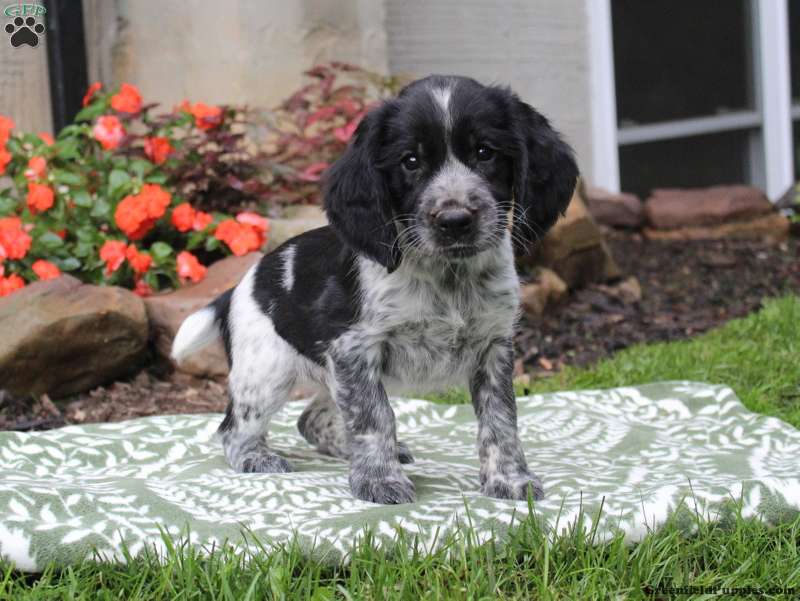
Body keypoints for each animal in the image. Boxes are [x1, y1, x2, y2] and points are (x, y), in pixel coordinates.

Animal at [172, 76, 580, 506]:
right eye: (410, 161)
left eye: (485, 153)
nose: (455, 220)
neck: (447, 275)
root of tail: (241, 284)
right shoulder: (354, 349)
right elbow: (374, 417)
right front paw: (379, 480)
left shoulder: (494, 346)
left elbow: (501, 419)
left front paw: (510, 479)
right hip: (266, 373)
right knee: (233, 429)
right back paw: (257, 458)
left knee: (311, 418)